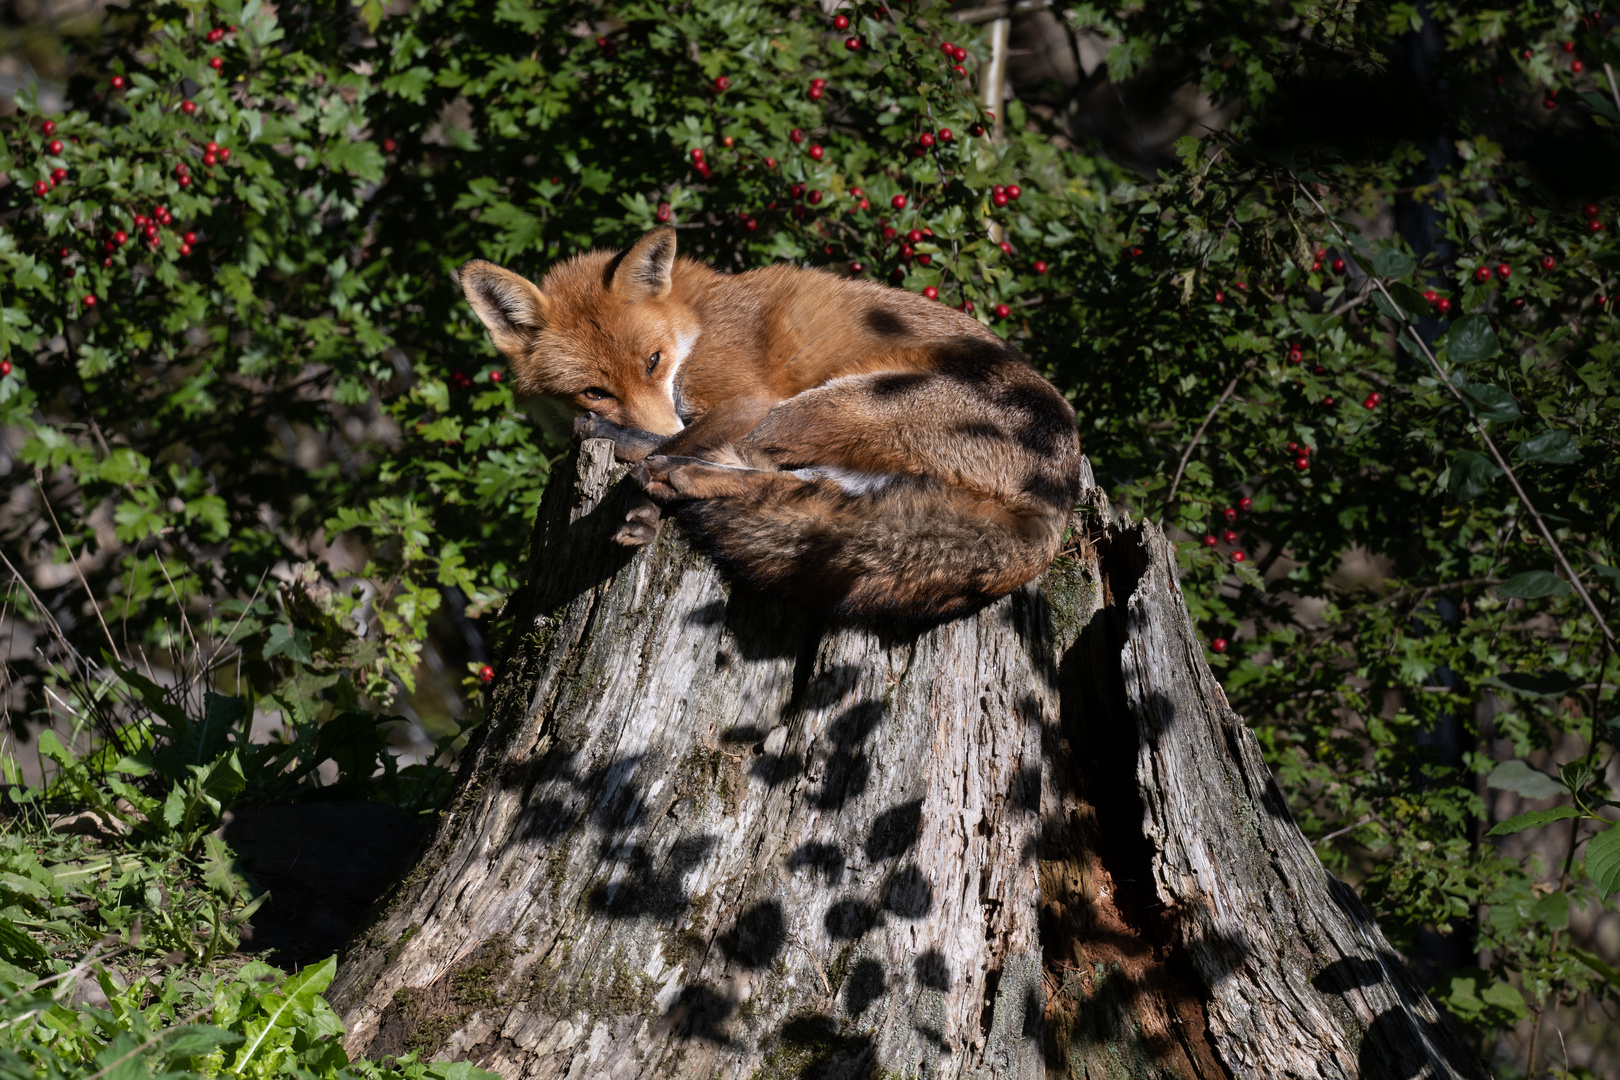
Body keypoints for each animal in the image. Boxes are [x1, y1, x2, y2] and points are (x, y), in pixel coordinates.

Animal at [460, 223, 1075, 621]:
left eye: (653, 362)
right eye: (594, 390)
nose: (652, 420)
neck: (697, 321)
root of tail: (1056, 510)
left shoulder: (746, 399)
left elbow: (679, 435)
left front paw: (638, 480)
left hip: (828, 404)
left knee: (737, 462)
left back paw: (659, 474)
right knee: (782, 488)